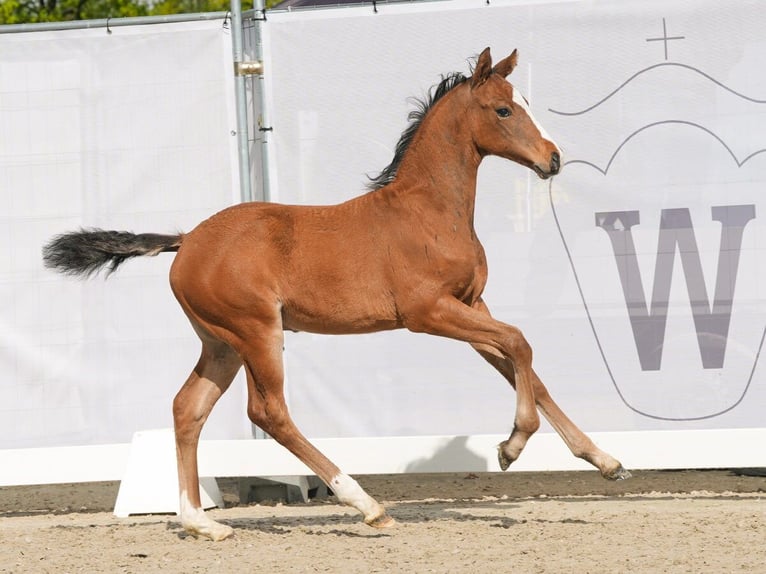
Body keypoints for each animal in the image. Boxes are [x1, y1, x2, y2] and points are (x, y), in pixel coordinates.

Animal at [43, 47, 632, 544]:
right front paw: (512, 446)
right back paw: (367, 506)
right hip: (256, 332)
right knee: (269, 411)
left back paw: (201, 524)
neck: (428, 211)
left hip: (221, 343)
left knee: (188, 408)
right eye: (504, 109)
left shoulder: (470, 306)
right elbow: (521, 342)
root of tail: (186, 240)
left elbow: (523, 365)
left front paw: (605, 460)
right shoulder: (428, 312)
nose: (553, 159)